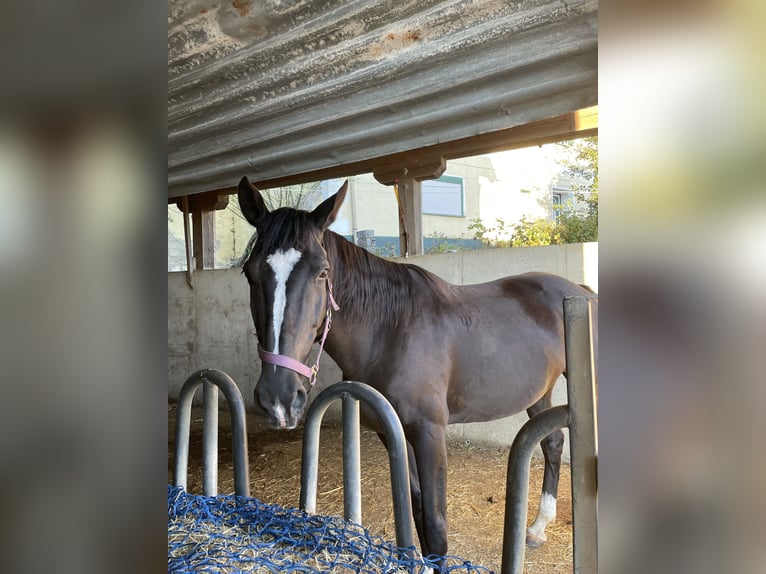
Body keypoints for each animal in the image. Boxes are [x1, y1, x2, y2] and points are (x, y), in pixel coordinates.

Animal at [237, 176, 598, 560]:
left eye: (322, 272)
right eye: (249, 273)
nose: (279, 397)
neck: (391, 330)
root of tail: (580, 289)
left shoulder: (429, 433)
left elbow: (437, 524)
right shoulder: (392, 432)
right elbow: (418, 509)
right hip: (539, 391)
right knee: (553, 443)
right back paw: (538, 527)